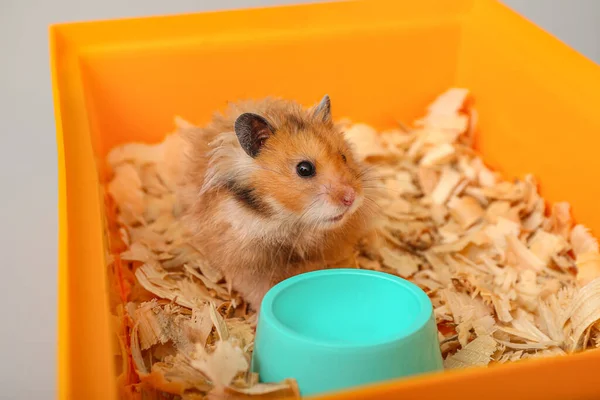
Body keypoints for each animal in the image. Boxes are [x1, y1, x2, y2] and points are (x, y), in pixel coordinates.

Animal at [177, 94, 376, 310]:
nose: (351, 198)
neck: (290, 223)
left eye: (343, 156)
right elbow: (259, 293)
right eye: (304, 169)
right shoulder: (248, 267)